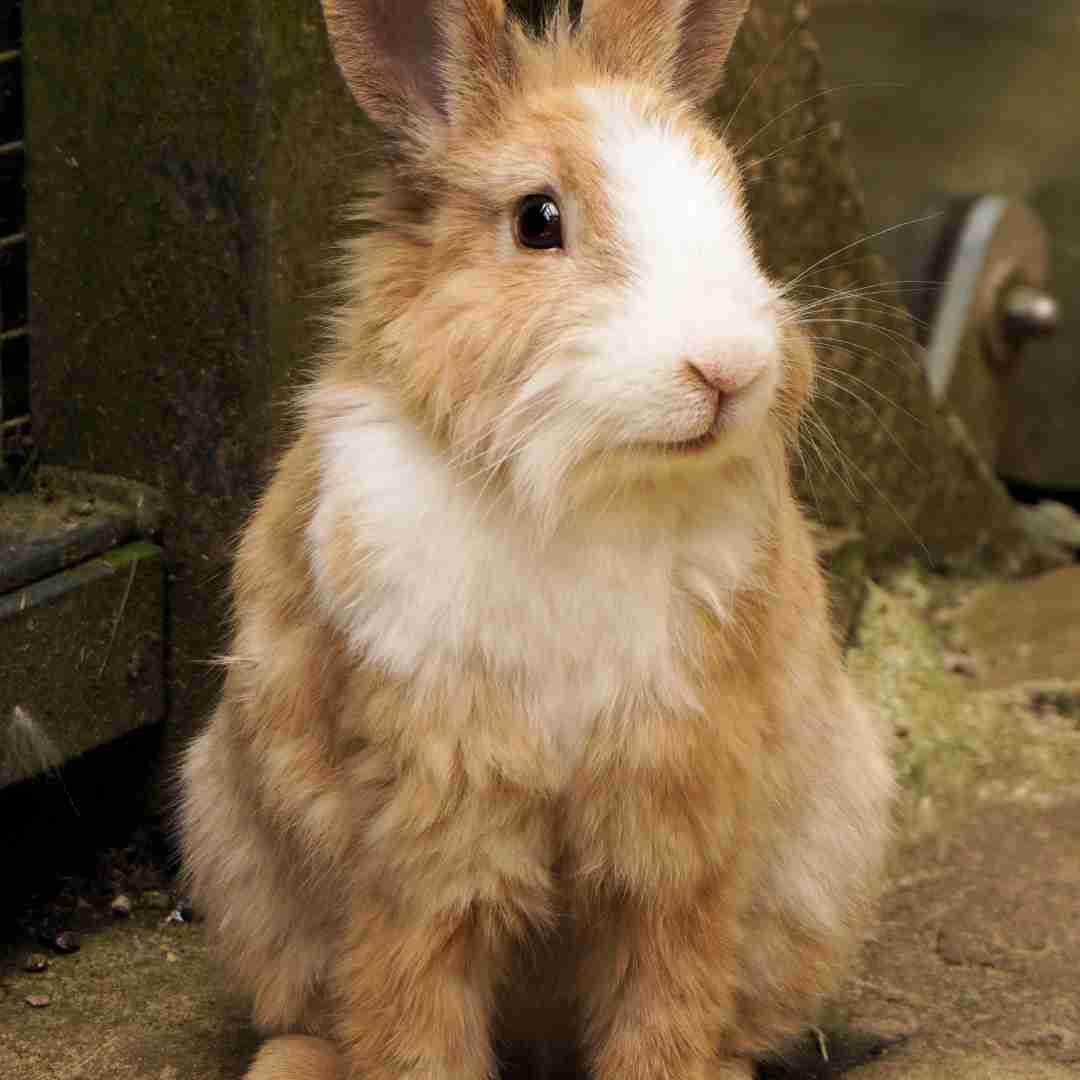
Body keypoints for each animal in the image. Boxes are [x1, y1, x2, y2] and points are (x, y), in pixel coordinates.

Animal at [181, 2, 894, 1080]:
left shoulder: (676, 819)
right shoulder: (429, 821)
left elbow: (665, 1001)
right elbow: (412, 1010)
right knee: (307, 1012)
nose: (727, 368)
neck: (582, 491)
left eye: (730, 196)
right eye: (537, 220)